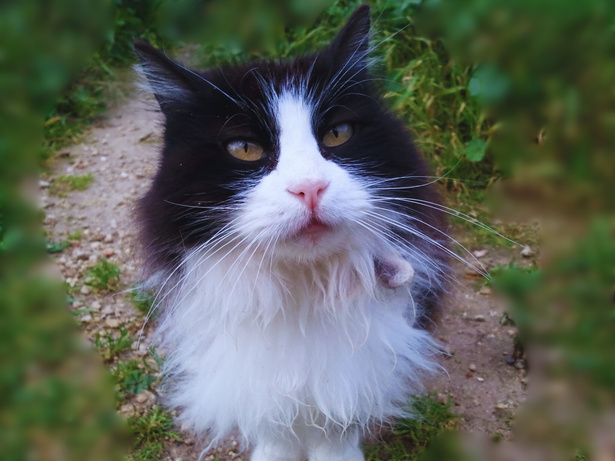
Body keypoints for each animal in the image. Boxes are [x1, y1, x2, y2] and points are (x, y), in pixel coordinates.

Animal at [135, 4, 450, 460]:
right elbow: (276, 424)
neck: (306, 288)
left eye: (338, 134)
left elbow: (337, 425)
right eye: (245, 149)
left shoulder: (356, 368)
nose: (310, 188)